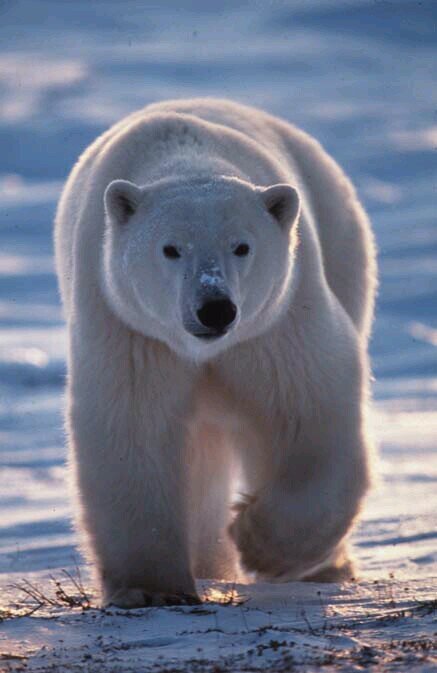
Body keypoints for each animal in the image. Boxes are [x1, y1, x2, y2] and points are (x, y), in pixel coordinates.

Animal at [53, 97, 374, 608]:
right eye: (170, 248)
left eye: (241, 246)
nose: (216, 307)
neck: (188, 158)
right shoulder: (130, 331)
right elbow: (133, 429)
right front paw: (151, 588)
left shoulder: (274, 326)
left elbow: (309, 412)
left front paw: (259, 544)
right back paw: (208, 563)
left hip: (342, 247)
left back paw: (325, 569)